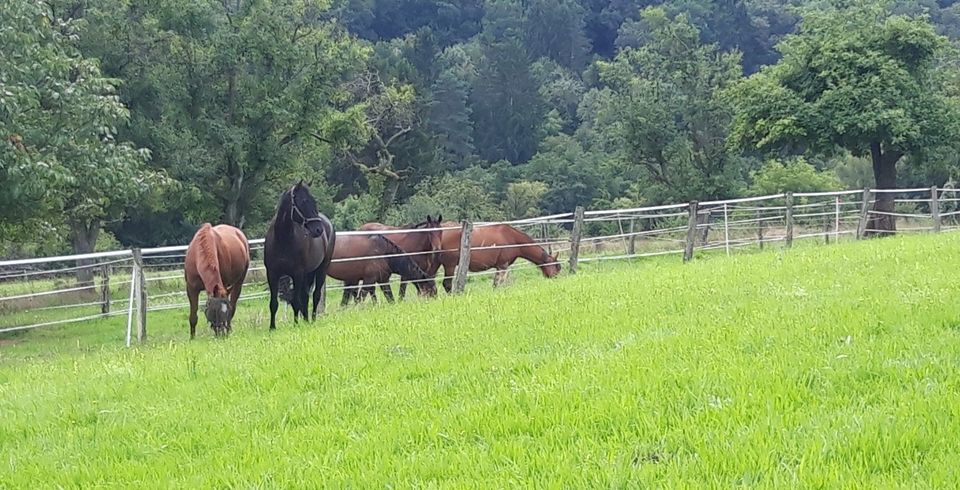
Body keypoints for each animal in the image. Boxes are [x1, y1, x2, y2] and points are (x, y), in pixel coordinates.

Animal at [264, 180, 336, 330]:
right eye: (303, 201)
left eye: (314, 201)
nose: (318, 229)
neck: (283, 238)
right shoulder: (272, 274)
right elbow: (274, 303)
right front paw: (272, 327)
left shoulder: (297, 273)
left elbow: (296, 301)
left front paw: (296, 324)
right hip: (308, 273)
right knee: (306, 296)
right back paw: (307, 320)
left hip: (321, 269)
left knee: (315, 295)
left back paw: (312, 319)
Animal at [436, 223, 564, 294]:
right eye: (556, 267)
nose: (556, 279)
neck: (512, 237)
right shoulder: (503, 265)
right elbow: (499, 283)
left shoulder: (499, 266)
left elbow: (495, 284)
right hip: (450, 265)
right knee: (447, 284)